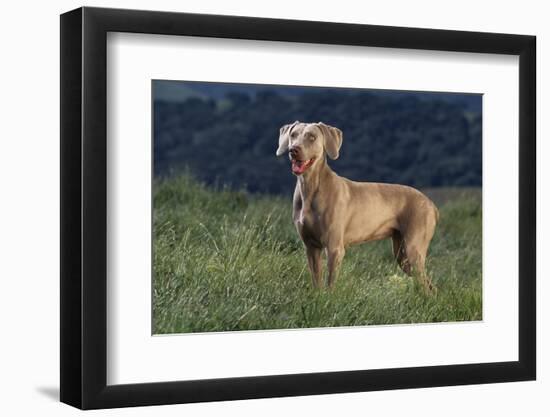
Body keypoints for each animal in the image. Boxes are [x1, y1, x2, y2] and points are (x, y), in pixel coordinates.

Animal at [278, 120, 442, 292]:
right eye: (293, 135)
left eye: (312, 137)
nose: (293, 150)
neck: (310, 188)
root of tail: (431, 204)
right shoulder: (311, 247)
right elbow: (317, 281)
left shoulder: (334, 248)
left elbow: (331, 285)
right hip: (402, 255)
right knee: (430, 287)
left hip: (413, 249)